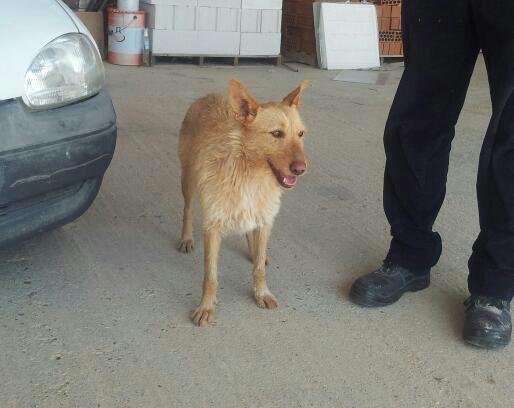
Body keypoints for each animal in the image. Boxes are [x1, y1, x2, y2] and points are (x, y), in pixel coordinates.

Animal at [179, 79, 308, 326]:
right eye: (276, 133)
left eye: (301, 134)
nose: (301, 169)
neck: (251, 176)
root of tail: (208, 96)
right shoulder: (213, 226)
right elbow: (210, 276)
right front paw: (206, 306)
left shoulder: (265, 220)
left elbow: (258, 269)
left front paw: (261, 292)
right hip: (188, 179)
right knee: (188, 209)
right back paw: (186, 238)